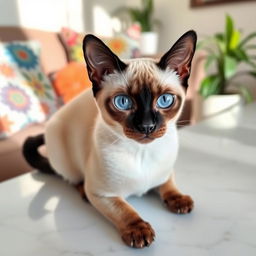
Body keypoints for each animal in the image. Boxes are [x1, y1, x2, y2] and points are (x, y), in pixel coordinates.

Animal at [23, 30, 197, 248]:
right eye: (123, 102)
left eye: (165, 100)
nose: (147, 126)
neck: (143, 153)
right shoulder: (102, 194)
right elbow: (125, 210)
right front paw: (138, 231)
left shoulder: (165, 173)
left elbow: (169, 186)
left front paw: (179, 200)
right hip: (63, 153)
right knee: (73, 179)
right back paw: (82, 193)